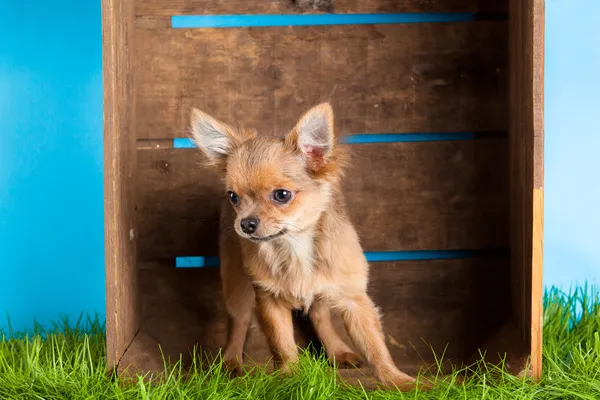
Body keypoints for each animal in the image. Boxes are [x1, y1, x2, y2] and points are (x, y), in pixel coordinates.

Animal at [192, 102, 422, 390]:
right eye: (234, 197)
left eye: (282, 195)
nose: (245, 224)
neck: (294, 245)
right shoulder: (270, 300)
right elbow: (282, 345)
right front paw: (288, 379)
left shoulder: (355, 298)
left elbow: (376, 347)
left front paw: (401, 382)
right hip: (236, 280)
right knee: (239, 320)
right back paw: (231, 362)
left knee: (320, 315)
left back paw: (337, 351)